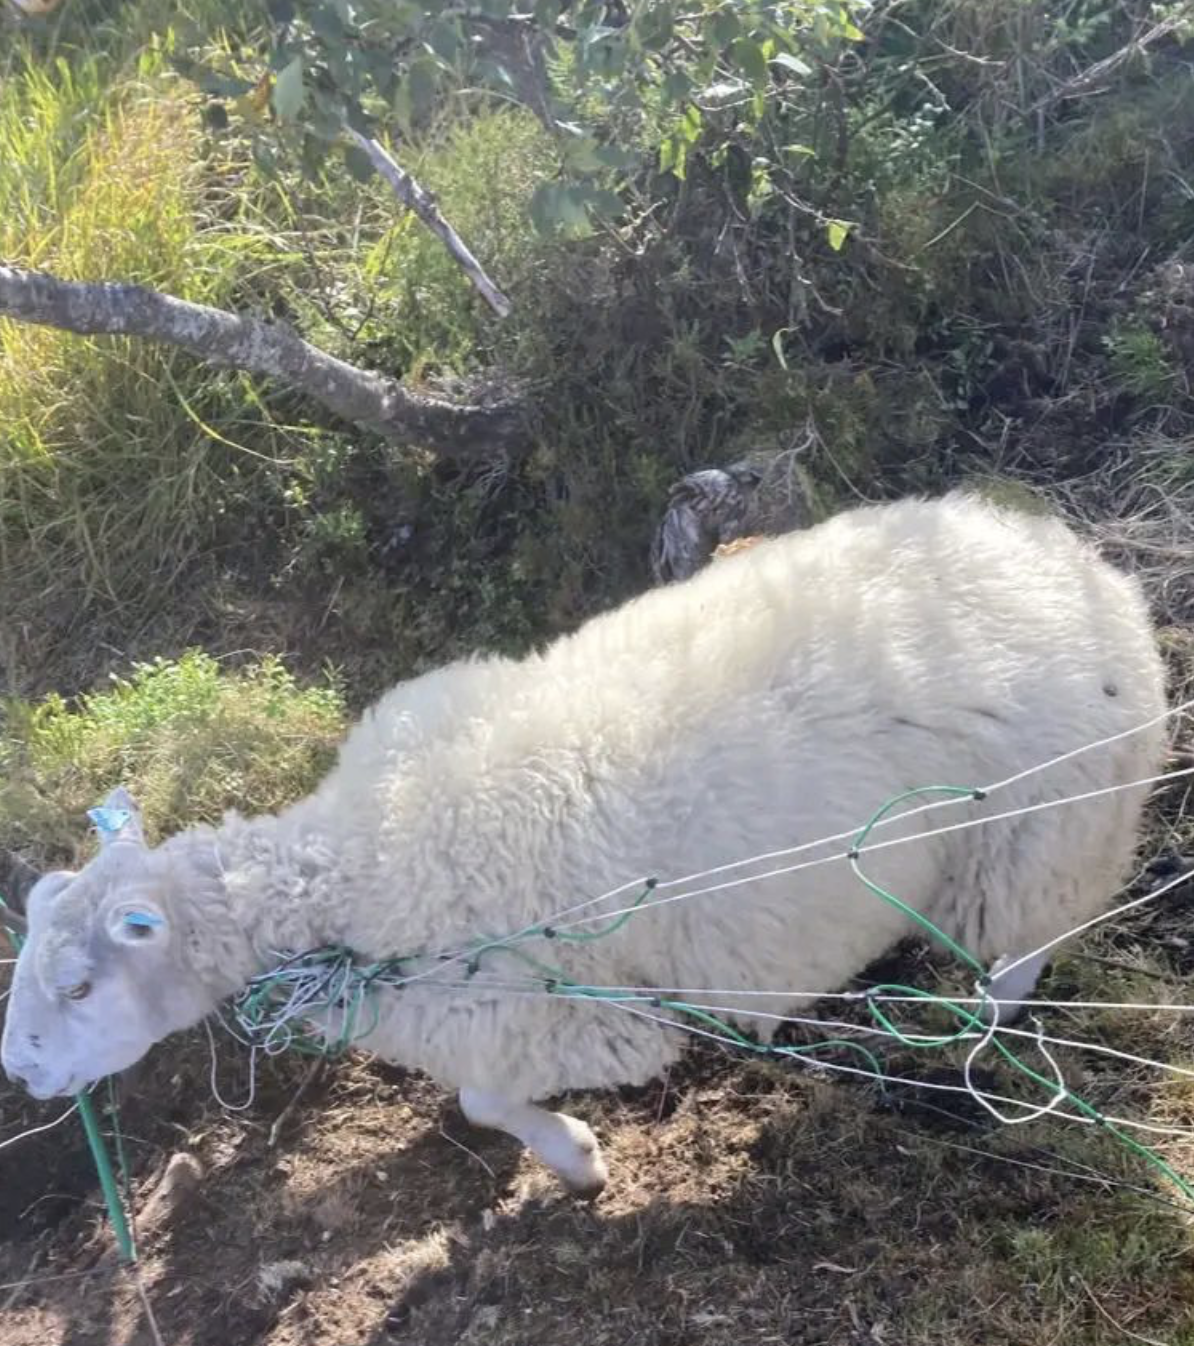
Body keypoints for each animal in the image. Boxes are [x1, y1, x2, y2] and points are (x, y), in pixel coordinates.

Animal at [0, 495, 1168, 1200]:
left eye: (79, 984)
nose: (19, 1071)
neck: (353, 872)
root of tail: (1095, 582)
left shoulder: (564, 1013)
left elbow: (481, 1100)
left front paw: (577, 1160)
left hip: (1041, 828)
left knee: (1023, 956)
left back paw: (968, 1031)